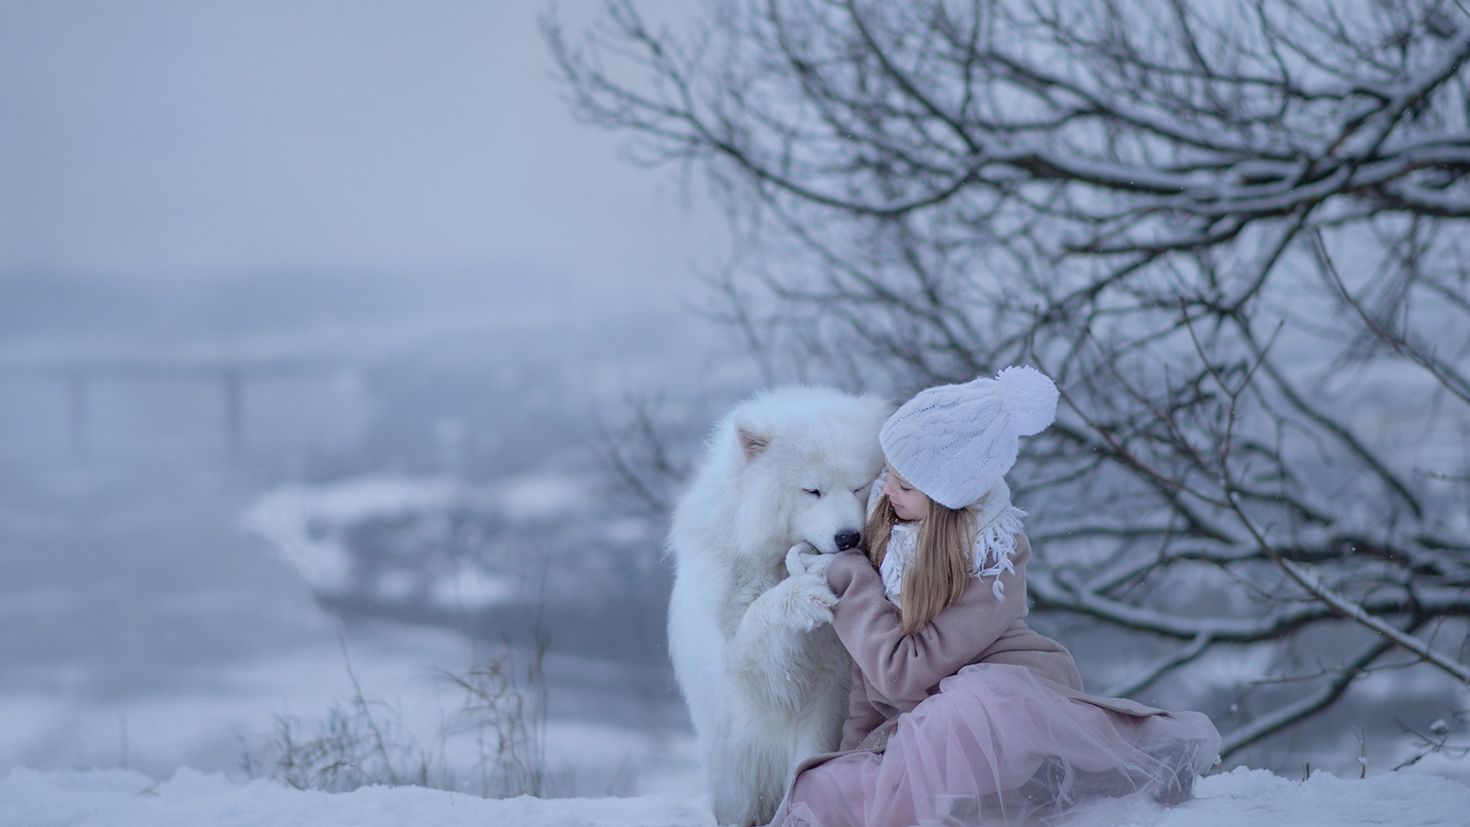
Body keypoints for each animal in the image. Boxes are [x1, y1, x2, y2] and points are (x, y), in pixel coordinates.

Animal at [664, 387, 882, 827]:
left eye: (859, 486)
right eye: (812, 490)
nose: (849, 537)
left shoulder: (831, 687)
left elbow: (812, 751)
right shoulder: (741, 681)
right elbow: (756, 625)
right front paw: (803, 597)